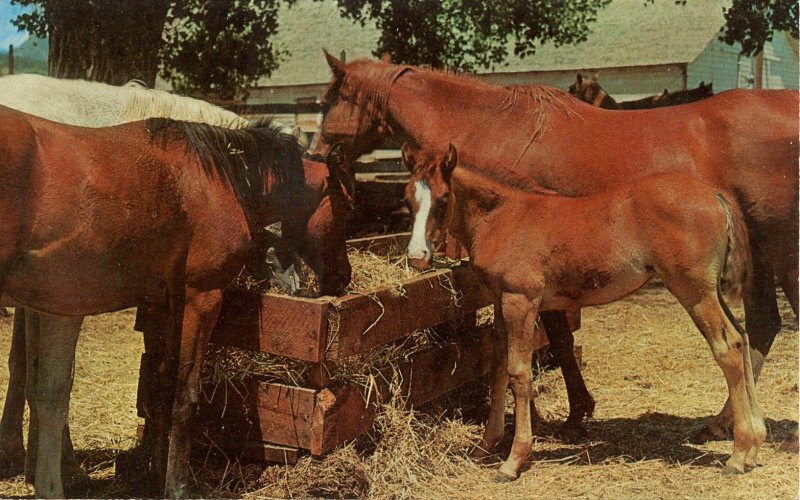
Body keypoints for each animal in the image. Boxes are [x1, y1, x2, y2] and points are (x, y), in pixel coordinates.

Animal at [312, 53, 800, 446]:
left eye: (329, 99)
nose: (316, 159)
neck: (491, 126)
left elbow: (554, 340)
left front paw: (566, 416)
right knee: (760, 327)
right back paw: (724, 424)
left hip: (778, 251)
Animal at [400, 144, 764, 480]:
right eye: (407, 200)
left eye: (443, 199)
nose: (417, 256)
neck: (503, 217)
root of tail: (715, 194)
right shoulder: (501, 304)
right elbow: (499, 368)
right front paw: (486, 445)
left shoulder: (521, 301)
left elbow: (519, 374)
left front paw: (513, 460)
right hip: (710, 291)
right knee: (743, 338)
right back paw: (753, 447)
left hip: (694, 291)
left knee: (728, 347)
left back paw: (738, 454)